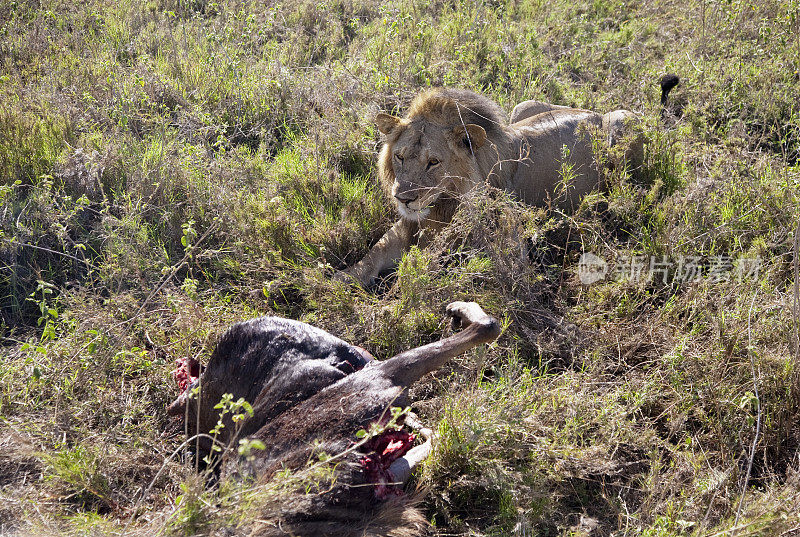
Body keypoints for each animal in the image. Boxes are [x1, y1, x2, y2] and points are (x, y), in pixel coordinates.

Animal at [344, 89, 644, 286]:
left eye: (433, 162)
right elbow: (372, 255)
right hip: (523, 106)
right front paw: (340, 280)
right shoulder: (409, 226)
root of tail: (593, 113)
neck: (444, 205)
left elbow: (434, 260)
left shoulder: (510, 251)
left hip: (624, 122)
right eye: (400, 156)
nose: (402, 199)